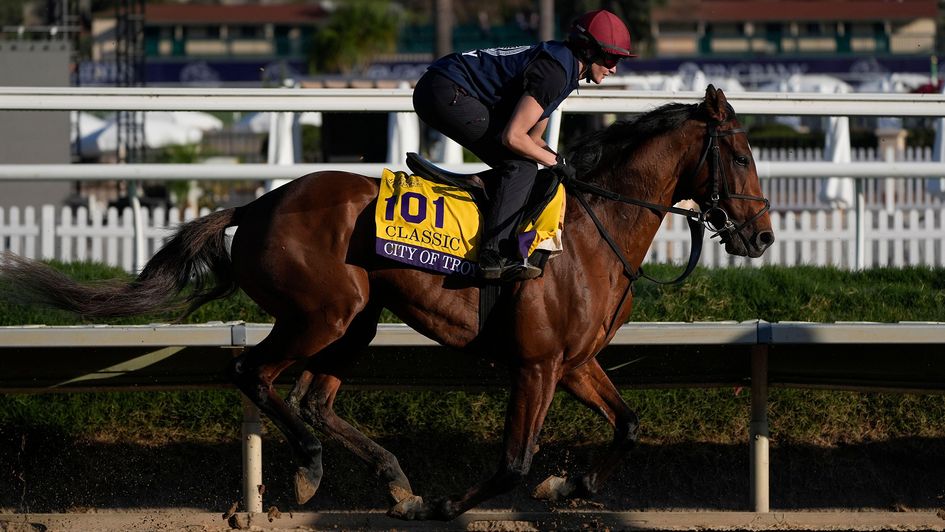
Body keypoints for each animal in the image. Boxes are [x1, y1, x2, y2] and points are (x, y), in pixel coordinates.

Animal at [1, 84, 776, 520]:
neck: (589, 230)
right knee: (253, 373)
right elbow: (512, 462)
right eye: (741, 155)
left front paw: (568, 486)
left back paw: (392, 481)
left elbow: (629, 427)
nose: (762, 235)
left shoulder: (574, 363)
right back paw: (314, 467)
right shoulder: (534, 367)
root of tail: (256, 203)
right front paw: (449, 502)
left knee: (314, 399)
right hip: (322, 314)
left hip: (356, 322)